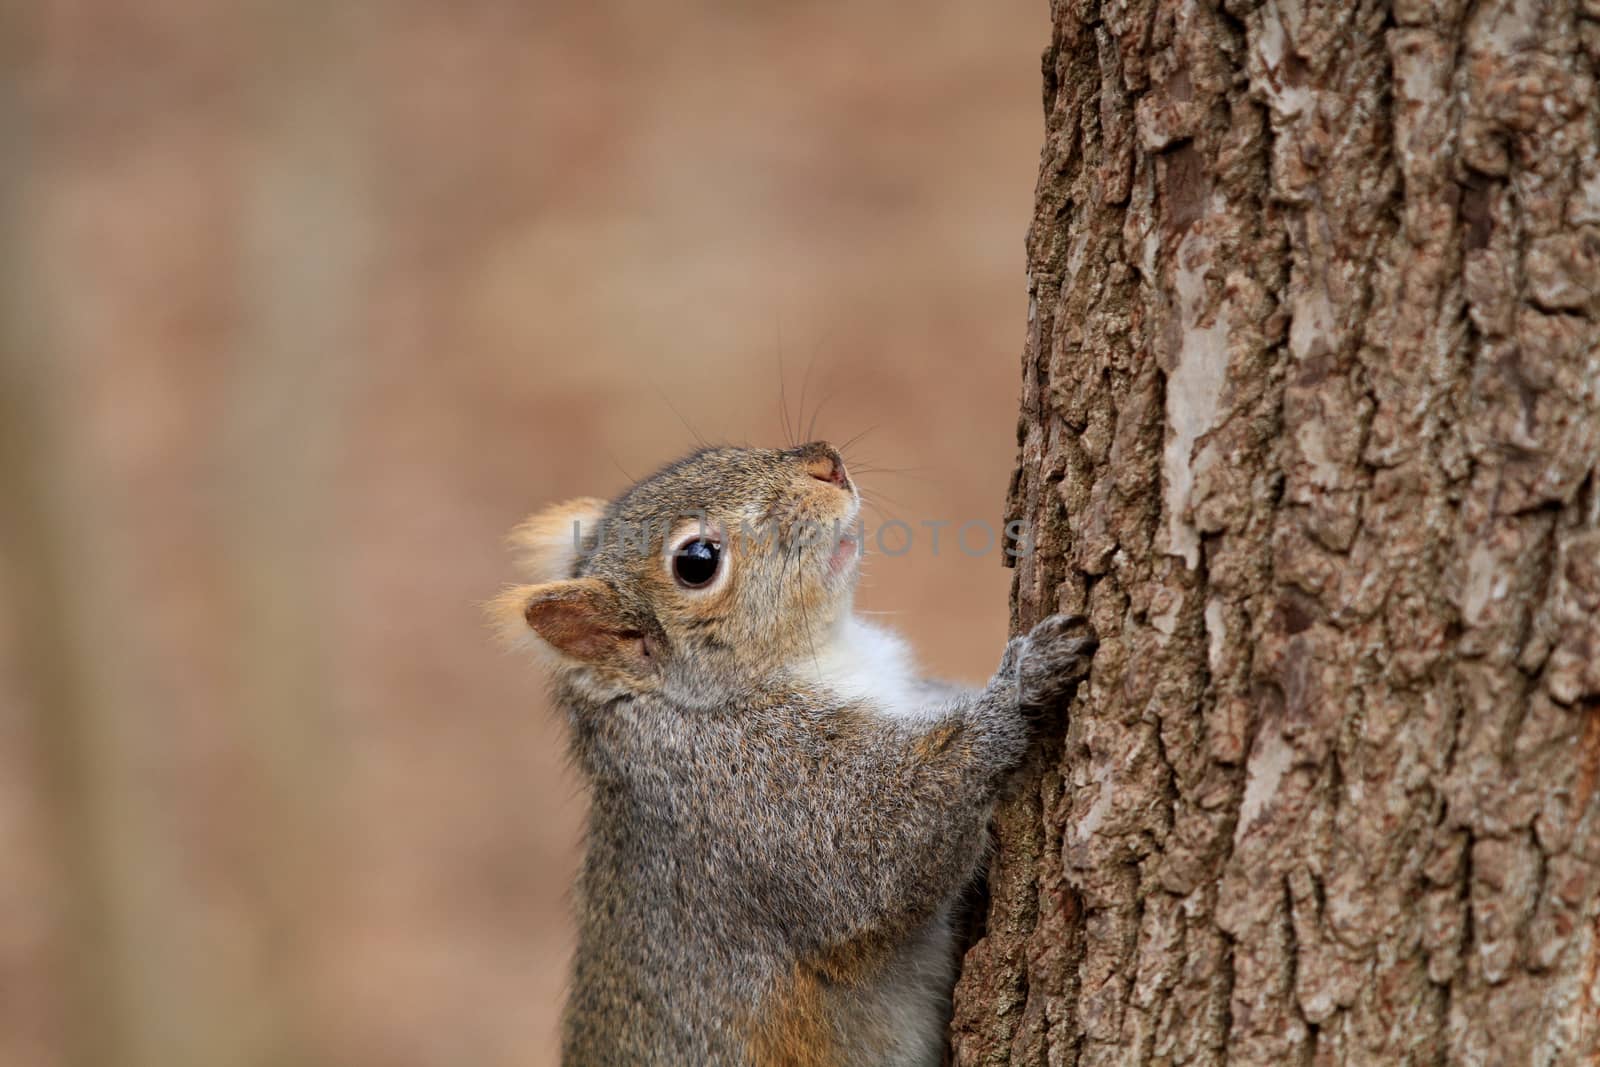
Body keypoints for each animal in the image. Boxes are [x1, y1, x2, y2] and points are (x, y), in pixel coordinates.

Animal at [489, 438, 1100, 1062]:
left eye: (713, 449)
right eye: (697, 561)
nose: (825, 462)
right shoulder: (758, 790)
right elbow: (889, 842)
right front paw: (1025, 680)